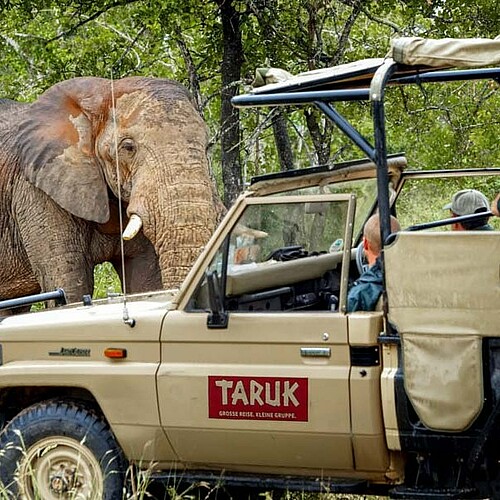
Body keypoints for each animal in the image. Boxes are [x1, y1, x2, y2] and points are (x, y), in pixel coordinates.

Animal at [0, 76, 221, 306]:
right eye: (128, 147)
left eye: (207, 146)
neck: (100, 96)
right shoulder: (36, 191)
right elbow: (67, 286)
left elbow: (146, 280)